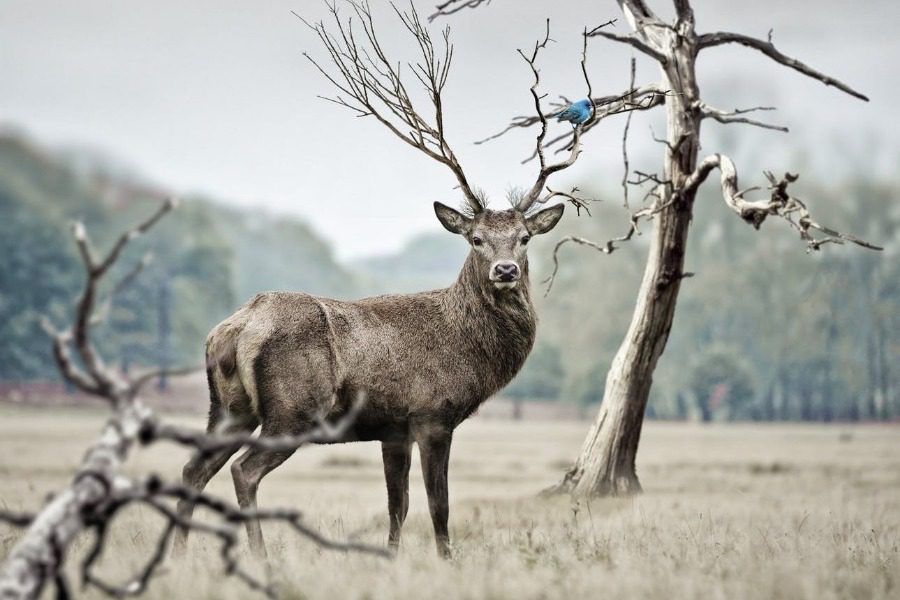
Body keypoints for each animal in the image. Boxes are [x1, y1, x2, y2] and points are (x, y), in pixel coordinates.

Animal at [175, 2, 592, 560]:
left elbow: (399, 505)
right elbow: (438, 504)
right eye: (476, 239)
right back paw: (259, 555)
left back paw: (178, 555)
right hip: (293, 409)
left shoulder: (392, 429)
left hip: (227, 407)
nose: (504, 270)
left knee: (193, 468)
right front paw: (447, 560)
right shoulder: (432, 413)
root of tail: (235, 327)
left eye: (524, 238)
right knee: (243, 472)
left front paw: (391, 558)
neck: (470, 351)